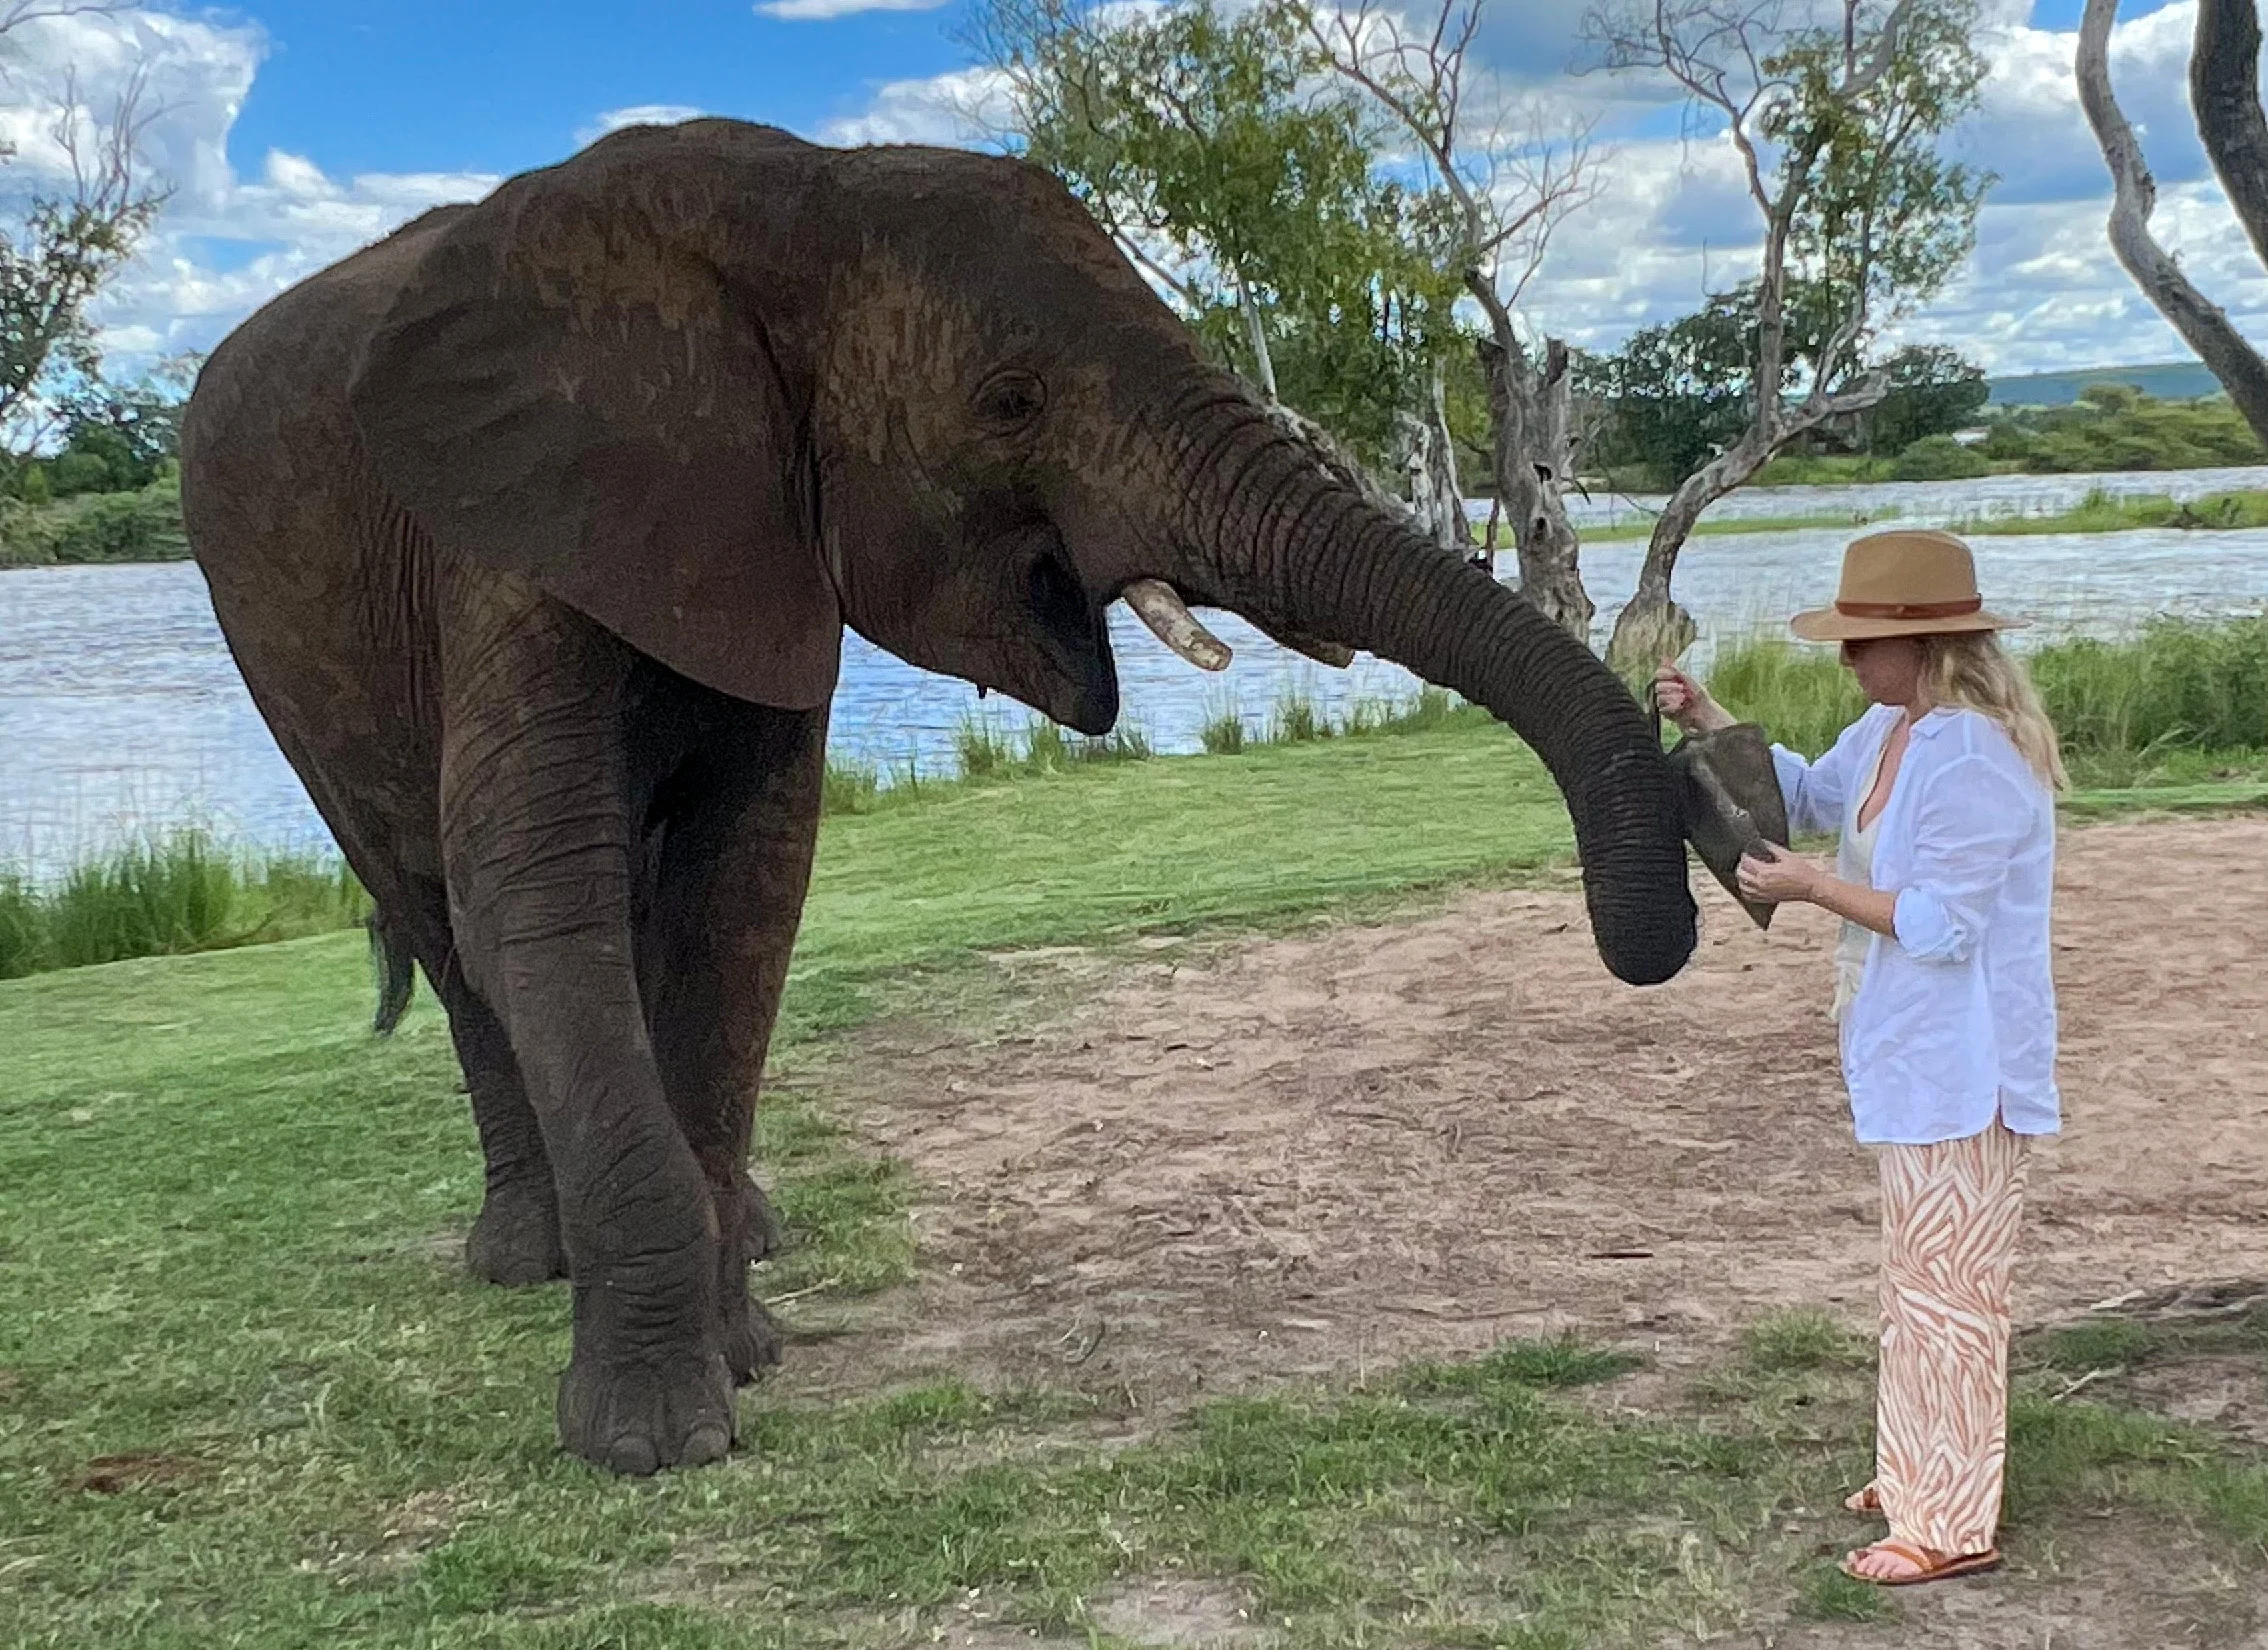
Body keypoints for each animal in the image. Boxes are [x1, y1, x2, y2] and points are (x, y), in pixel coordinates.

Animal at [181, 118, 1750, 1486]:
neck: (790, 196)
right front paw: (651, 1441)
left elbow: (744, 896)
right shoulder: (511, 528)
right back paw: (523, 1257)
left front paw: (744, 1349)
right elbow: (534, 890)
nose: (1681, 874)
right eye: (1009, 402)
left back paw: (743, 1230)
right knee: (439, 920)